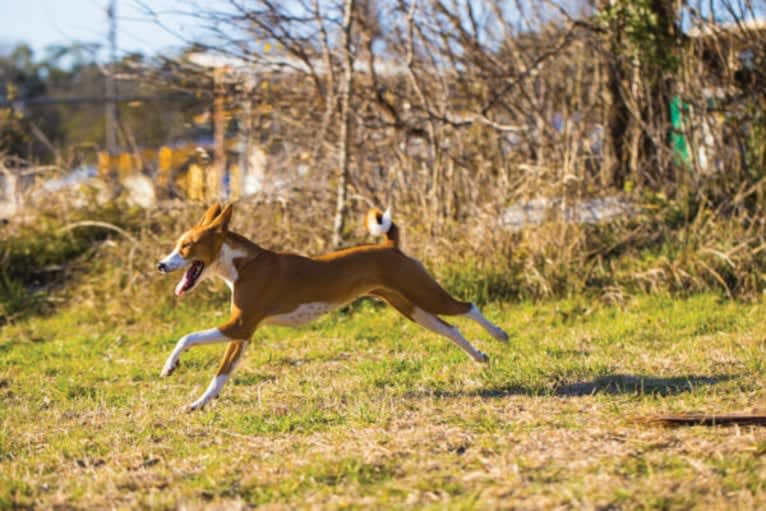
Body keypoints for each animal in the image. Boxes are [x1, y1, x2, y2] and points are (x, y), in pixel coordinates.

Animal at [157, 202, 510, 410]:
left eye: (185, 246)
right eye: (176, 245)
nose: (161, 265)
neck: (244, 264)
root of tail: (390, 246)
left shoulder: (240, 325)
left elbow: (186, 337)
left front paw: (169, 367)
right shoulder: (242, 333)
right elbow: (221, 375)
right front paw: (200, 403)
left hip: (424, 294)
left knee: (469, 307)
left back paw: (500, 335)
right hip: (412, 307)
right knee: (451, 328)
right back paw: (479, 356)